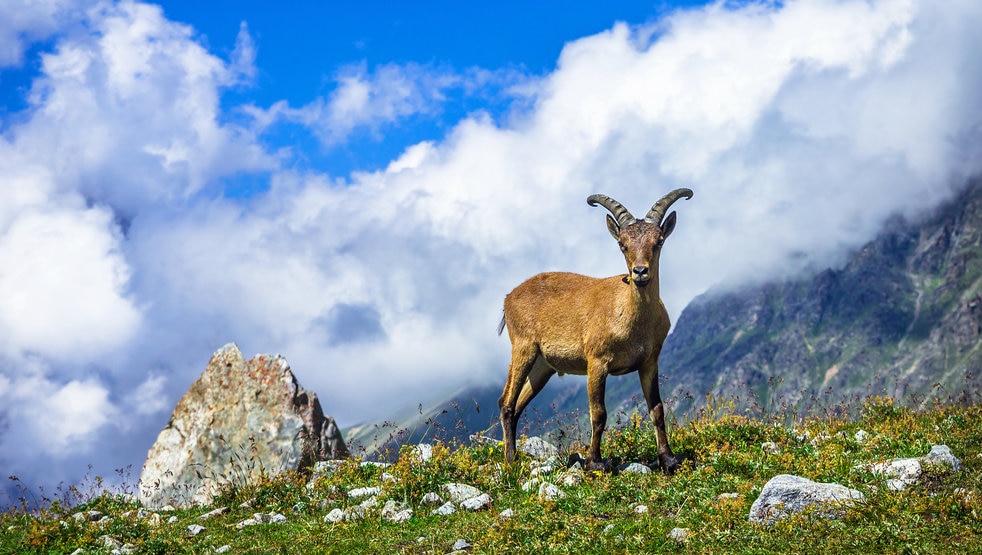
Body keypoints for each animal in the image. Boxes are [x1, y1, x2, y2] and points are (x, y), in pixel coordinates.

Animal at [500, 190, 692, 474]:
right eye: (622, 244)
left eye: (658, 241)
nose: (640, 272)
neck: (632, 321)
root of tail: (508, 298)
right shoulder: (597, 362)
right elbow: (598, 413)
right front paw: (595, 462)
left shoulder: (649, 362)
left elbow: (657, 409)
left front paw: (668, 459)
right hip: (523, 347)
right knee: (506, 403)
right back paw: (510, 462)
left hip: (542, 367)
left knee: (518, 405)